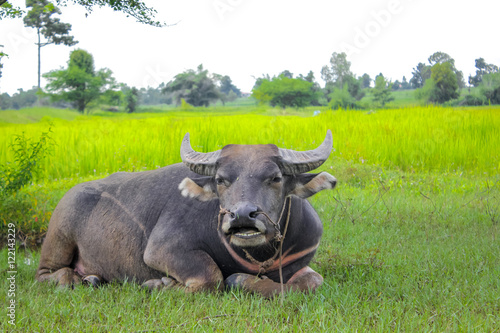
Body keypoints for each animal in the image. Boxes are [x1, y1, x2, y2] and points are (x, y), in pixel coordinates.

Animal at [36, 130, 336, 296]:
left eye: (275, 177)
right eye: (221, 179)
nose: (241, 216)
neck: (259, 256)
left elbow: (314, 281)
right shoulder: (162, 250)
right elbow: (211, 278)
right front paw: (159, 284)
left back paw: (92, 278)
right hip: (59, 239)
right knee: (44, 274)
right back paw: (70, 279)